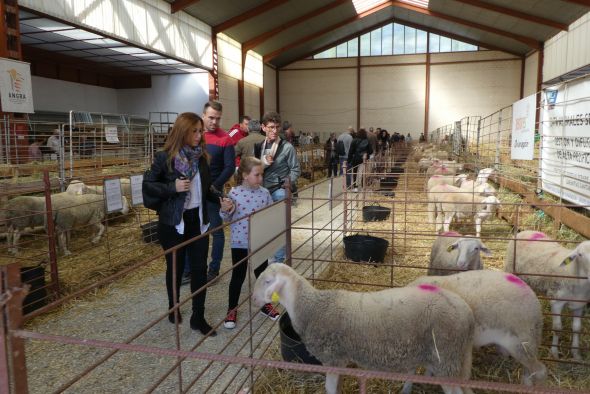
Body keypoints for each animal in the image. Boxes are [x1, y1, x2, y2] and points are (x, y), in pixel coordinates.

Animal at [253, 262, 476, 394]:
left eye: (267, 281)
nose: (254, 300)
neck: (311, 306)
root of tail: (467, 311)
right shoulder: (340, 360)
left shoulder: (332, 358)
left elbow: (329, 388)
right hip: (440, 355)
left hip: (446, 357)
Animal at [504, 229, 590, 362]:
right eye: (580, 255)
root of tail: (527, 230)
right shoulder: (556, 301)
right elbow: (557, 328)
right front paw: (554, 353)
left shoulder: (579, 304)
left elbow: (577, 329)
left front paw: (576, 354)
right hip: (511, 270)